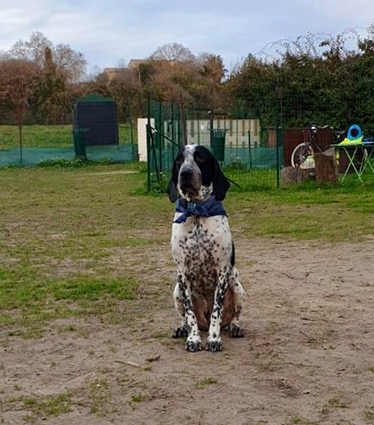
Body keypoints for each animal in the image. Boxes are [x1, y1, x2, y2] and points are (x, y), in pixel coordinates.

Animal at [167, 144, 245, 350]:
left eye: (201, 158)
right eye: (179, 160)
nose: (185, 173)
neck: (196, 211)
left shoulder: (222, 271)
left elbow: (217, 312)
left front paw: (214, 339)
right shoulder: (182, 273)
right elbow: (189, 314)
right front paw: (193, 339)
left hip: (237, 285)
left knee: (234, 316)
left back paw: (235, 327)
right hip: (176, 290)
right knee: (185, 318)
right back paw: (182, 328)